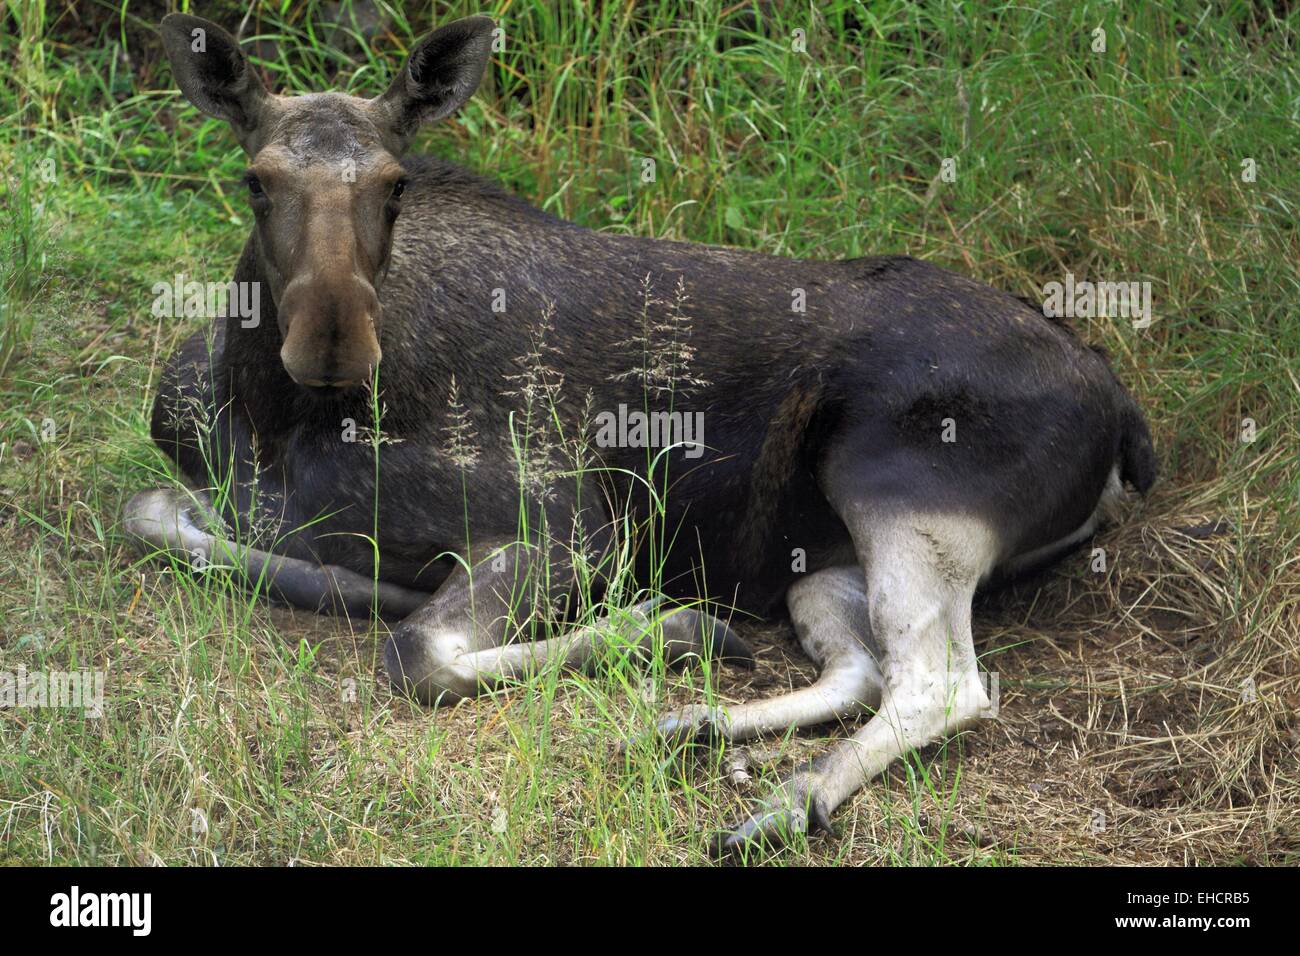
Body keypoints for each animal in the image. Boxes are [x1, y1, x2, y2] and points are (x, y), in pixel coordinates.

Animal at [126, 11, 1154, 858]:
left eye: (395, 183)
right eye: (256, 180)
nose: (332, 342)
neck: (274, 420)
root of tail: (1121, 409)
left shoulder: (577, 526)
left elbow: (419, 657)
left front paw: (661, 627)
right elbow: (161, 520)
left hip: (897, 488)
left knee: (942, 685)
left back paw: (782, 796)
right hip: (824, 552)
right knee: (865, 665)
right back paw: (694, 728)